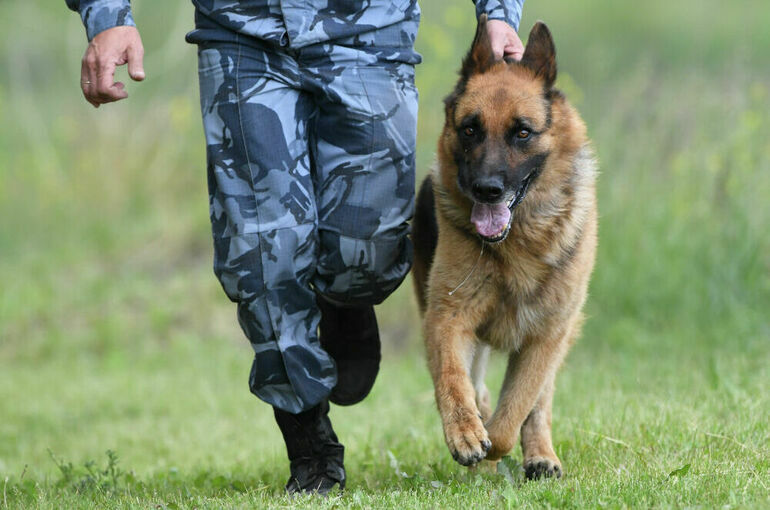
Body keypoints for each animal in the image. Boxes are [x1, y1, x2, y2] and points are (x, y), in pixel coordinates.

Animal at [412, 15, 596, 478]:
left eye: (522, 132)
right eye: (470, 129)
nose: (487, 190)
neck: (516, 243)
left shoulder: (546, 336)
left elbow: (514, 413)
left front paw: (495, 442)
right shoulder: (448, 317)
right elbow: (453, 379)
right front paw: (465, 433)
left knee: (539, 403)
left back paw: (540, 454)